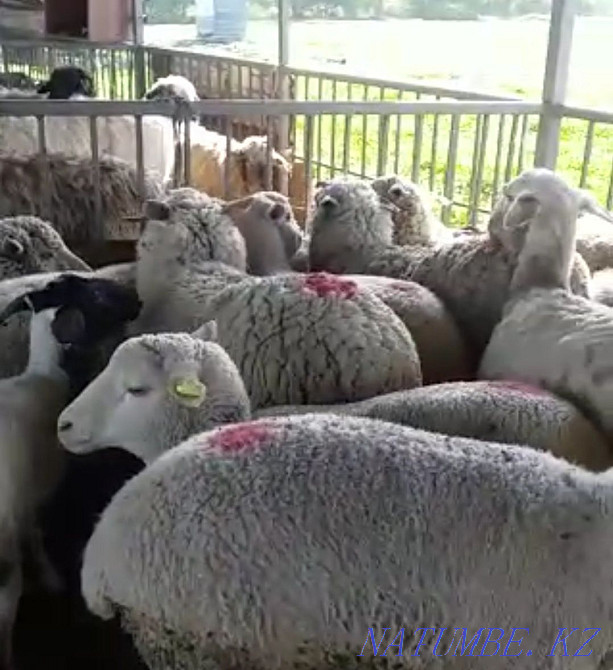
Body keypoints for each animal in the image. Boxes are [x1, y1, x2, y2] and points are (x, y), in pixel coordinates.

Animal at [0, 273, 141, 670]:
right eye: (97, 296)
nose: (137, 298)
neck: (45, 376)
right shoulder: (28, 504)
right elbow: (35, 537)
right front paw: (52, 580)